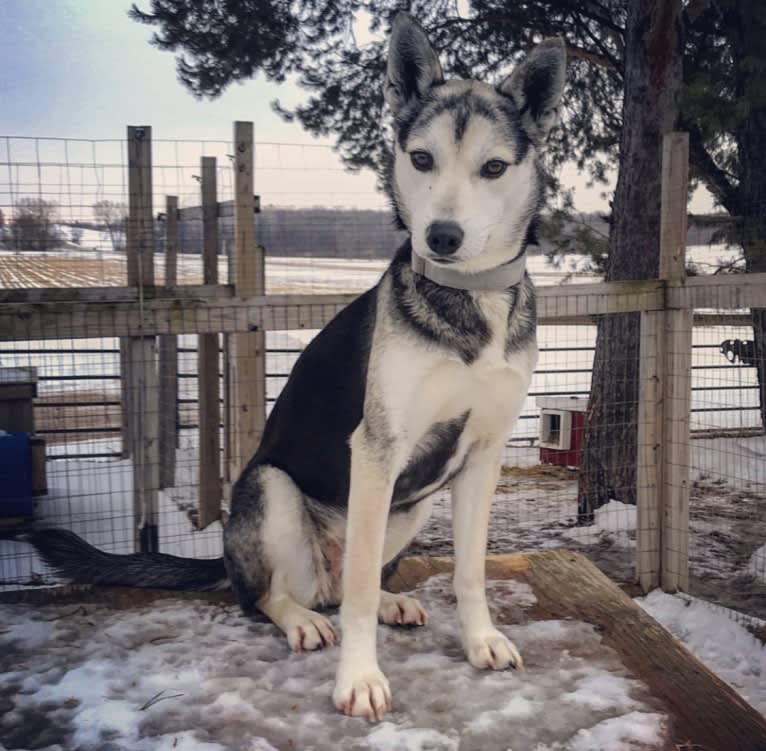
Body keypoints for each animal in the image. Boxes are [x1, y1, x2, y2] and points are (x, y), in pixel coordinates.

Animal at [18, 13, 568, 724]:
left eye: (494, 167)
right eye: (422, 159)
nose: (441, 237)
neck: (468, 300)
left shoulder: (482, 454)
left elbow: (469, 571)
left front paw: (481, 641)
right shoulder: (379, 448)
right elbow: (357, 588)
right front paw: (359, 678)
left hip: (410, 507)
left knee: (347, 582)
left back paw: (388, 601)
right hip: (274, 489)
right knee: (278, 595)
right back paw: (303, 619)